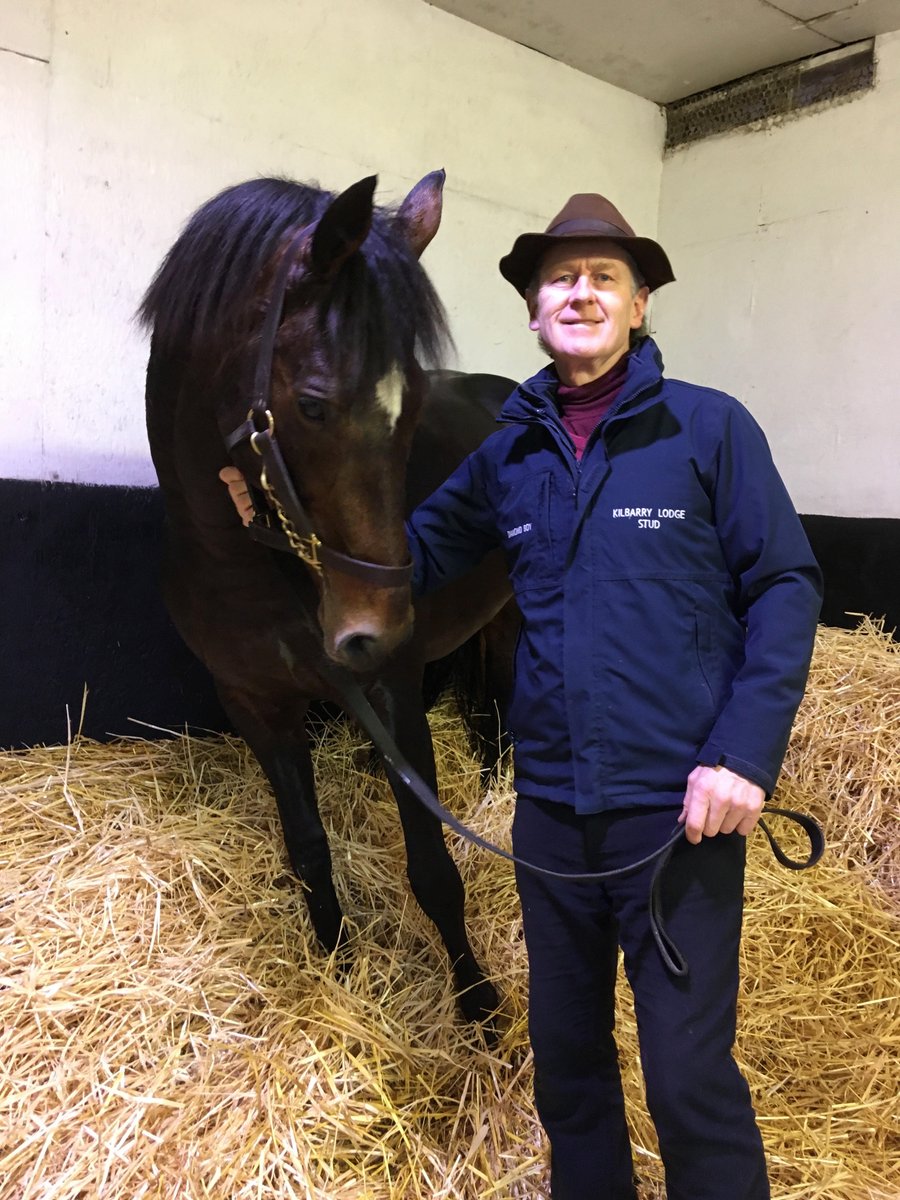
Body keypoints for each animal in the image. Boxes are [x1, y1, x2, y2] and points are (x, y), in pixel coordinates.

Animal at [138, 170, 517, 1029]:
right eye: (311, 405)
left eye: (414, 406)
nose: (378, 624)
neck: (247, 565)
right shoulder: (256, 704)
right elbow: (308, 849)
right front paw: (337, 964)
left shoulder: (391, 687)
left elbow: (433, 866)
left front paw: (478, 1004)